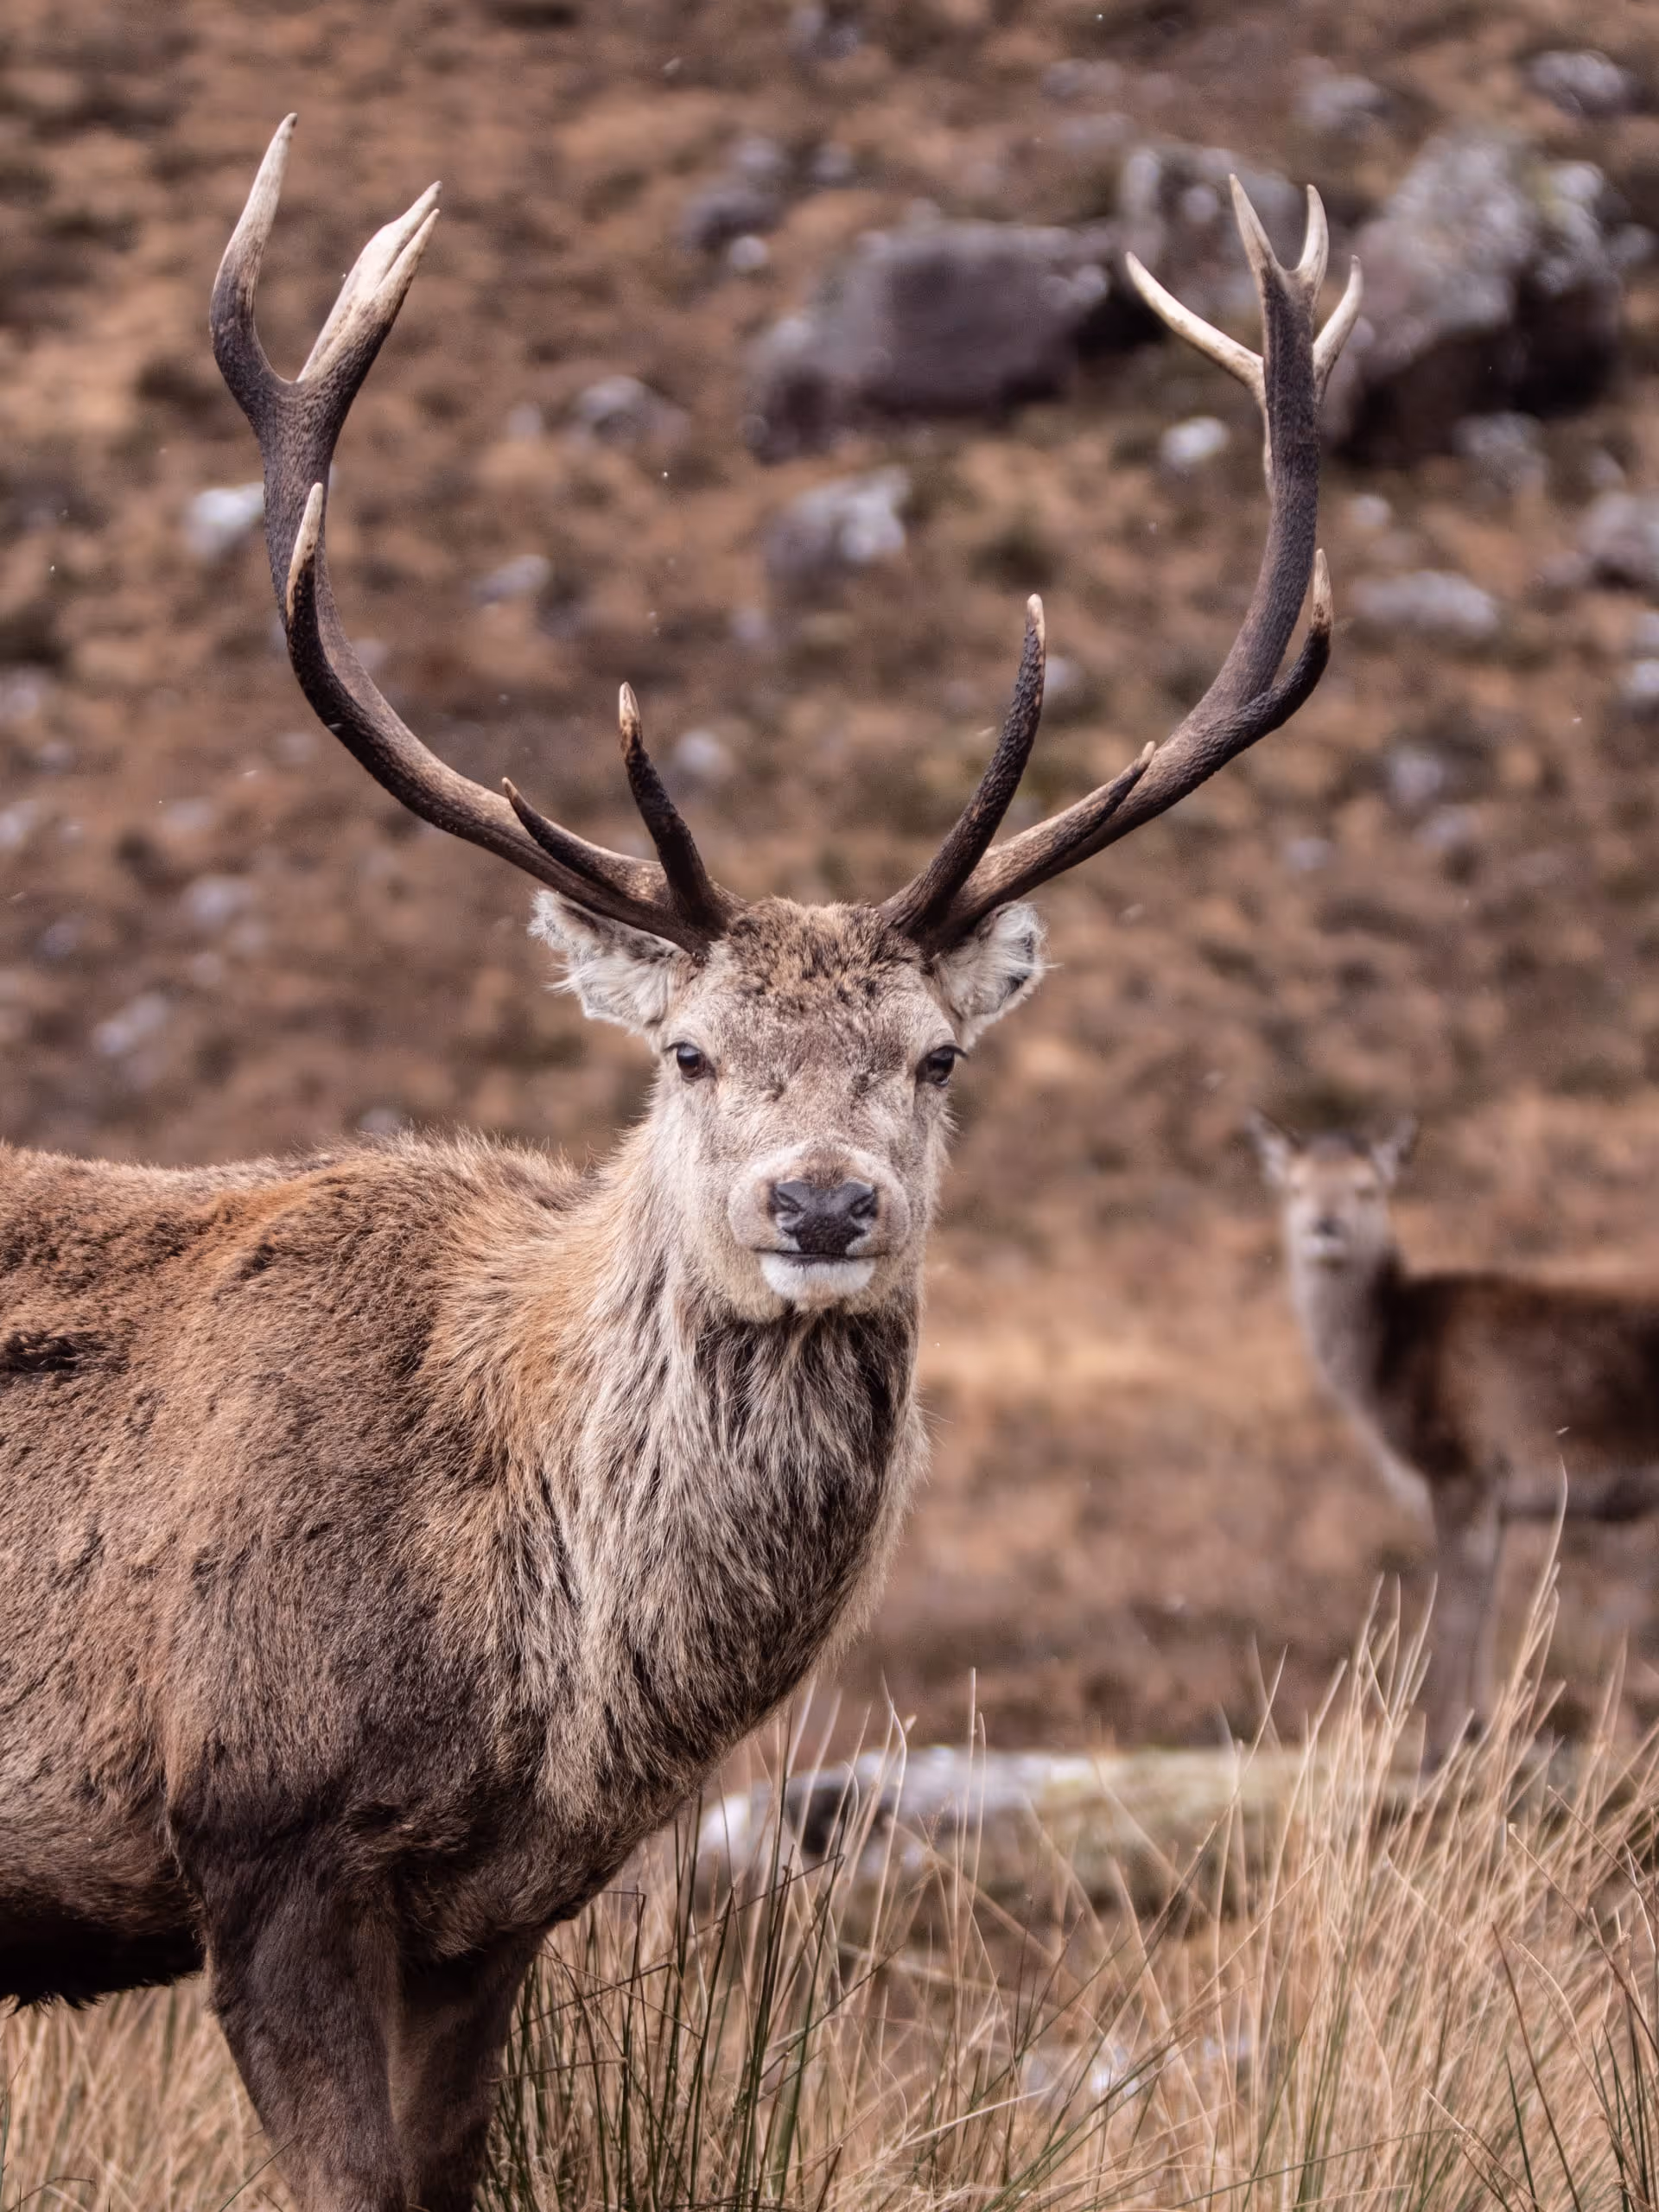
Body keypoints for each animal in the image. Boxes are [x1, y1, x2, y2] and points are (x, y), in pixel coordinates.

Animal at [1251, 1115, 1659, 1762]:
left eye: (1368, 1188)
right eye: (1295, 1187)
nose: (1326, 1227)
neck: (1381, 1368)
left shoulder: (1459, 1467)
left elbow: (1455, 1612)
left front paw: (1437, 1747)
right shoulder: (1500, 1500)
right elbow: (1485, 1607)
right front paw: (1480, 1733)